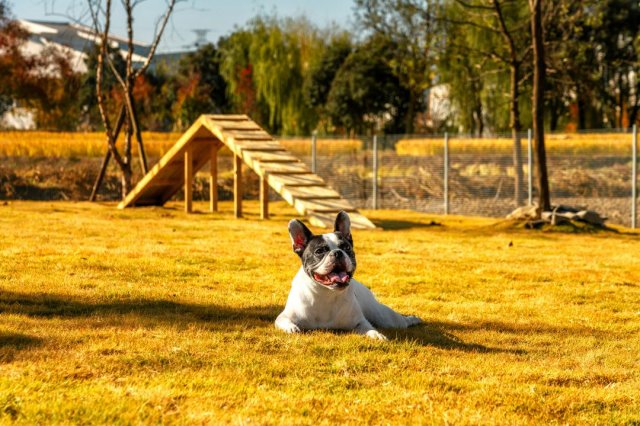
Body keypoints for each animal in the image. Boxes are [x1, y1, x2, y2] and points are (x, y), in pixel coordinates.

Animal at [274, 211, 420, 342]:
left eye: (347, 248)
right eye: (319, 251)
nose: (338, 252)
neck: (326, 293)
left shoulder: (360, 321)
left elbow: (369, 328)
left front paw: (376, 335)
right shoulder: (284, 317)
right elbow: (286, 322)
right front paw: (292, 328)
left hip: (384, 316)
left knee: (400, 320)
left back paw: (413, 319)